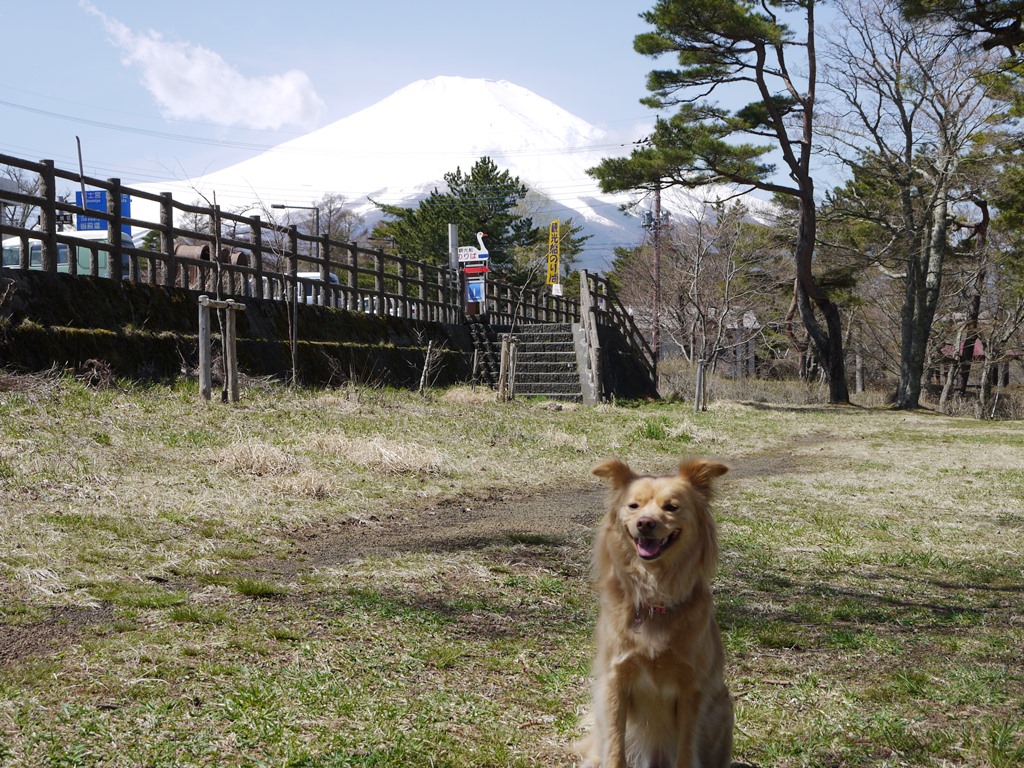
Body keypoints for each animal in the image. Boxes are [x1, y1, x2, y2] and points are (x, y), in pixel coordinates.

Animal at [577, 460, 737, 765]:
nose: (645, 523)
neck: (654, 601)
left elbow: (686, 751)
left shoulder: (692, 688)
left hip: (723, 708)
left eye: (671, 507)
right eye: (633, 506)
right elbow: (615, 747)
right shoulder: (615, 679)